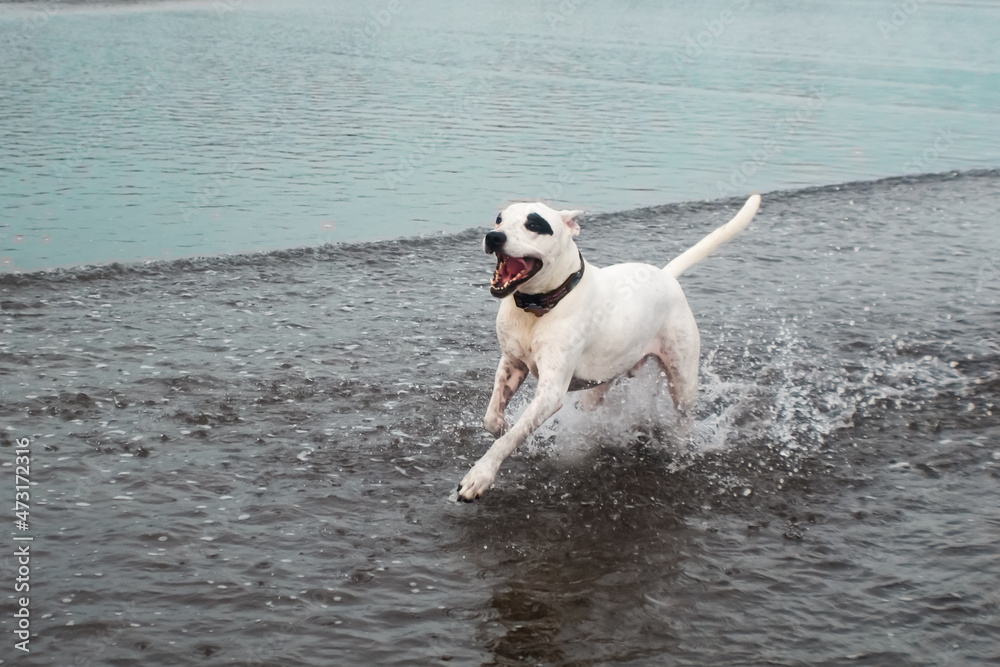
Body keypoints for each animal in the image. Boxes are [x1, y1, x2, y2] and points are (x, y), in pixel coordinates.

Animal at [458, 196, 760, 504]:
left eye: (534, 224)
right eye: (499, 219)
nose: (494, 237)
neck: (538, 307)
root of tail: (666, 276)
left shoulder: (551, 392)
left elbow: (509, 439)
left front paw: (480, 476)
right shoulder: (512, 363)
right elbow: (492, 419)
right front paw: (502, 427)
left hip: (683, 382)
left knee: (684, 418)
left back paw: (680, 449)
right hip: (599, 384)